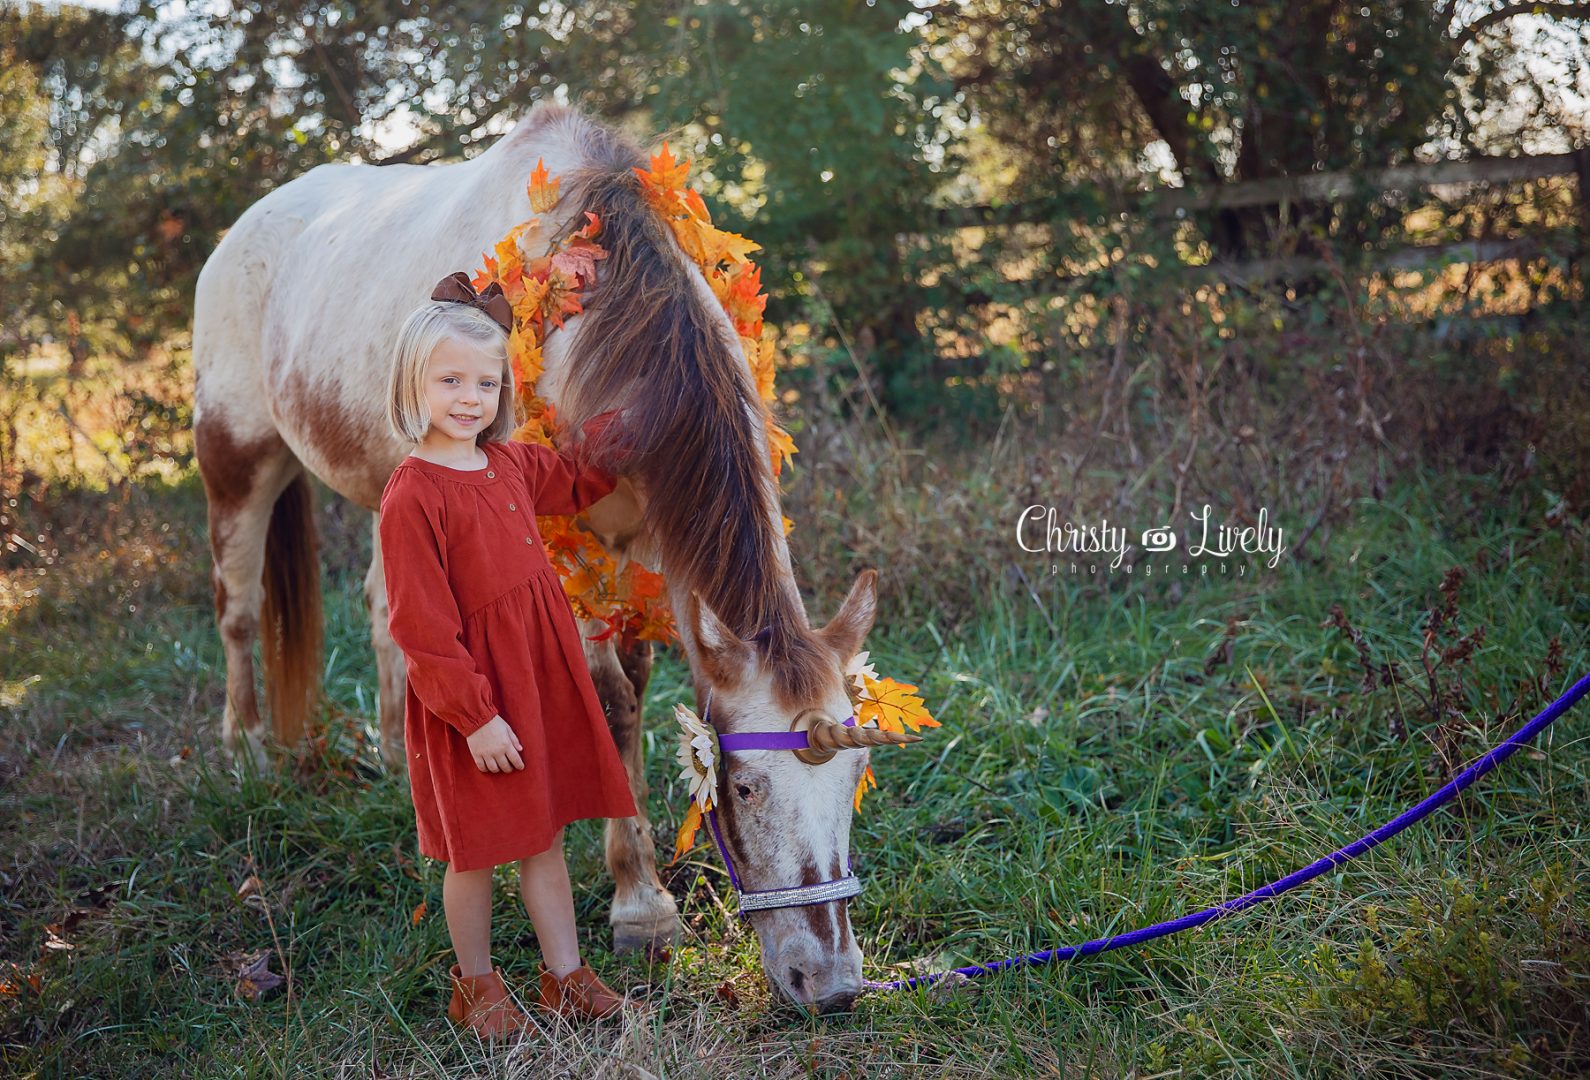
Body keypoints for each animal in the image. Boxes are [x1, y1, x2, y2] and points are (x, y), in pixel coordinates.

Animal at [189, 101, 909, 1011]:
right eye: (746, 785)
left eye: (855, 779)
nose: (833, 982)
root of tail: (242, 230)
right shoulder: (564, 555)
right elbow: (609, 702)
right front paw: (641, 906)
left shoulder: (648, 551)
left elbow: (636, 682)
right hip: (237, 460)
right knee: (238, 610)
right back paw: (247, 752)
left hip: (394, 492)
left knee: (391, 615)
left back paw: (396, 762)